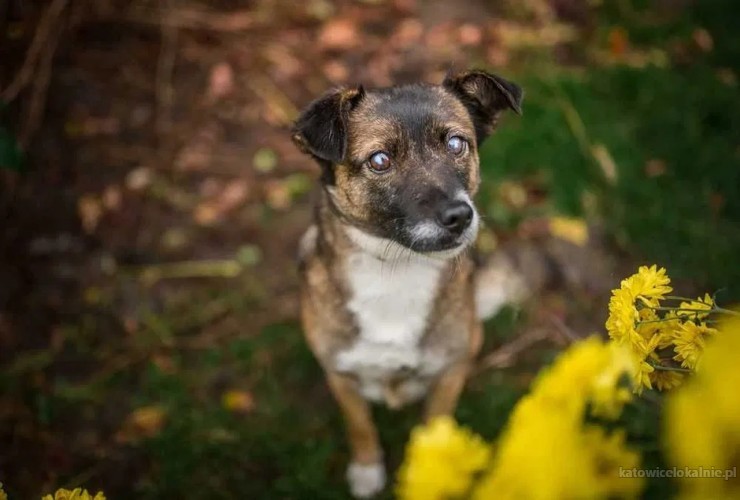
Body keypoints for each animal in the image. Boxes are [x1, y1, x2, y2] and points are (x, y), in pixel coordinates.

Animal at [292, 69, 524, 496]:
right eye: (380, 160)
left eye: (456, 144)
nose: (459, 216)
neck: (397, 271)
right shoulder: (340, 375)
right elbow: (359, 424)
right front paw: (367, 469)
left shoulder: (449, 372)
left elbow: (434, 426)